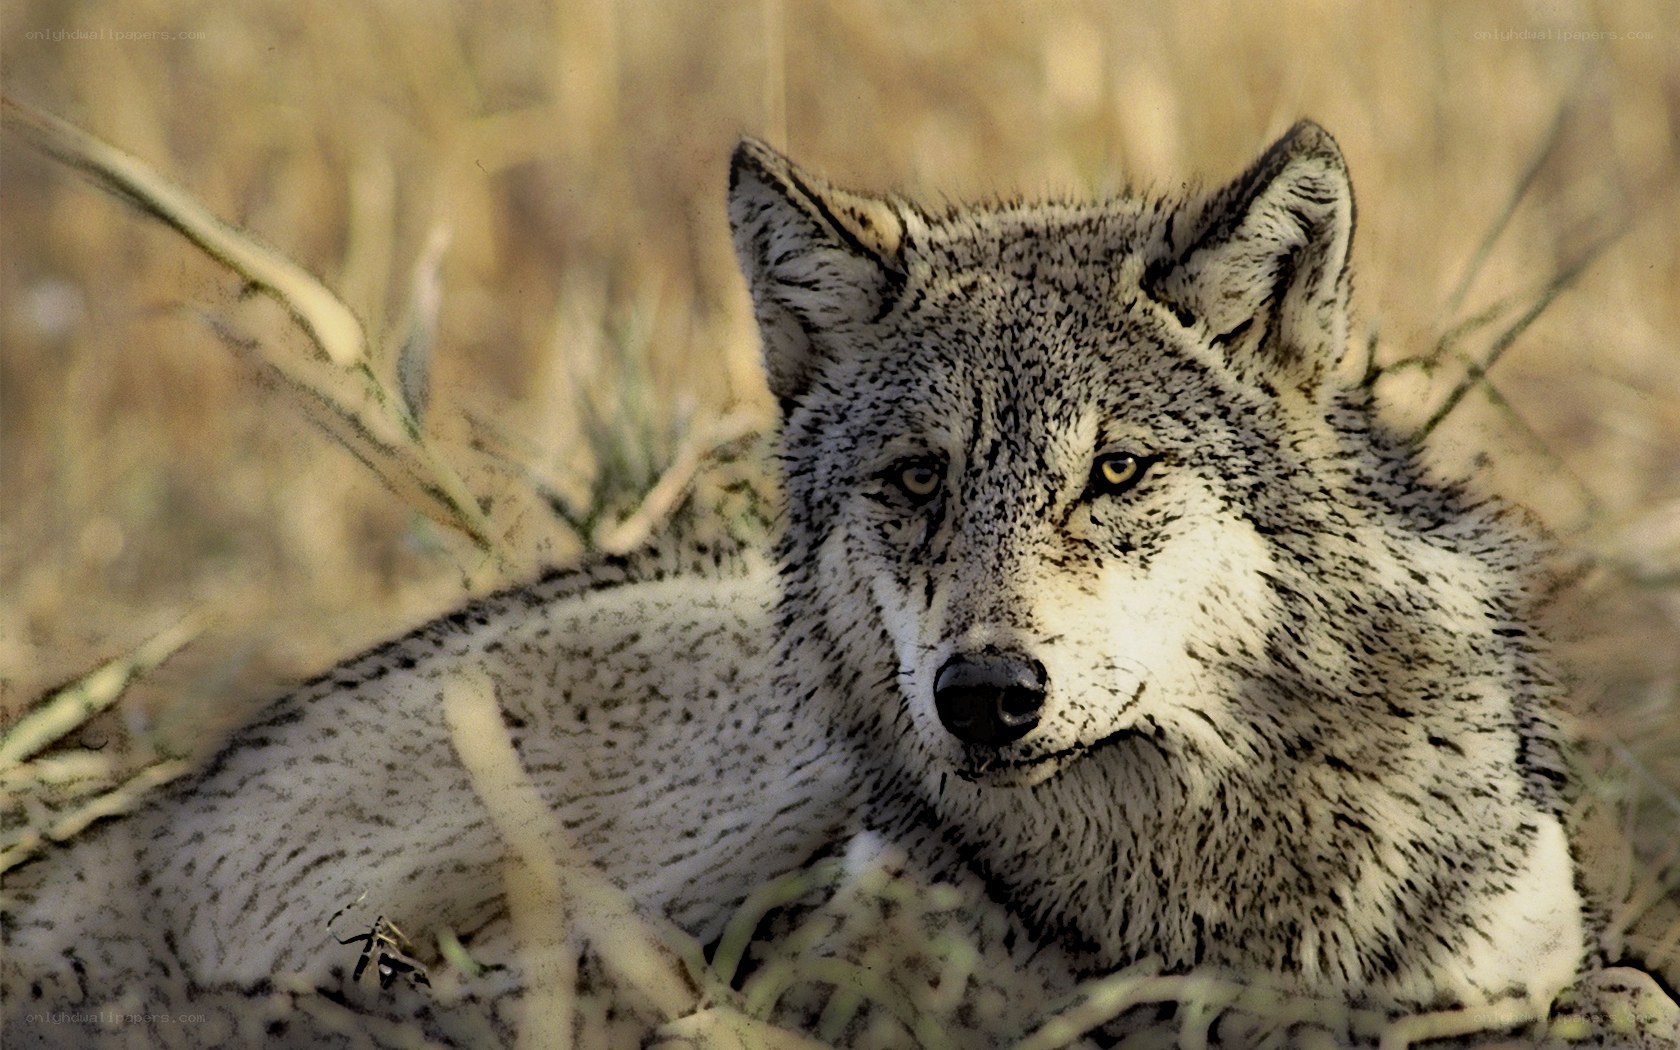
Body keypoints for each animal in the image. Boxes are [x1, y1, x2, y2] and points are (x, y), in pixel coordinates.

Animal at [5, 122, 1622, 1047]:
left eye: (1114, 472)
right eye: (915, 479)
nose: (986, 696)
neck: (1190, 883)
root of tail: (155, 813)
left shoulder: (1510, 951)